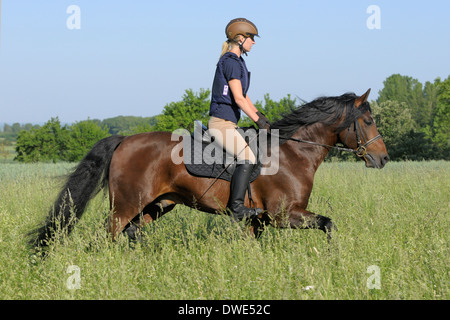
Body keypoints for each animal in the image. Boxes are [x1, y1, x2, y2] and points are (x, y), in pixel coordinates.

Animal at [30, 89, 390, 249]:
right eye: (368, 121)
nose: (383, 159)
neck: (292, 153)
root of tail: (124, 140)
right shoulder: (284, 215)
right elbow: (329, 224)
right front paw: (332, 255)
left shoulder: (259, 221)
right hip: (125, 205)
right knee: (106, 237)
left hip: (156, 205)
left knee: (133, 234)